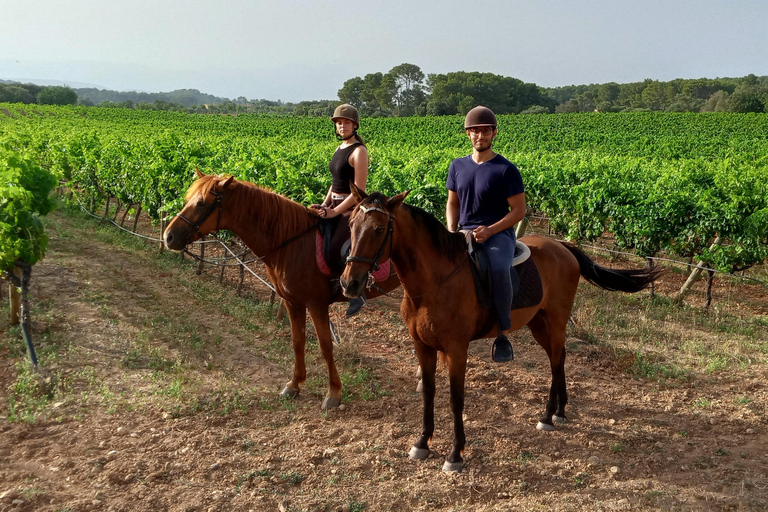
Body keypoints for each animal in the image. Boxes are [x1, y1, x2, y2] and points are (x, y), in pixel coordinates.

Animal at [164, 170, 402, 410]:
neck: (291, 242)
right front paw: (294, 384)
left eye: (202, 203)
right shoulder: (292, 301)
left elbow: (325, 346)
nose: (168, 236)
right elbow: (297, 341)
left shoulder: (316, 304)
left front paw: (333, 393)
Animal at [342, 188, 660, 472]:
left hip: (556, 320)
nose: (349, 283)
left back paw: (548, 416)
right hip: (538, 323)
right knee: (559, 358)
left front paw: (455, 454)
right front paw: (422, 443)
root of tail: (562, 246)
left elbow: (456, 398)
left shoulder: (457, 349)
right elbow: (429, 393)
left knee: (556, 361)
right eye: (351, 225)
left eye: (378, 229)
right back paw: (560, 410)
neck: (434, 283)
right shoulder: (422, 345)